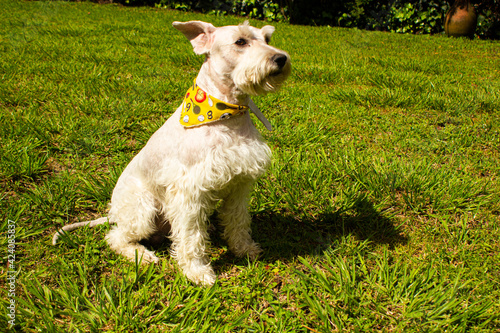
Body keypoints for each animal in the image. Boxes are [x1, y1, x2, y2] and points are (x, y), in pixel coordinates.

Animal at [52, 19, 292, 284]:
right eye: (240, 41)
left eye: (267, 39)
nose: (281, 58)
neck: (225, 114)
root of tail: (115, 214)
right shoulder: (189, 190)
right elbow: (191, 236)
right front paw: (198, 271)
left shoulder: (239, 183)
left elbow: (238, 220)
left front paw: (244, 249)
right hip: (142, 210)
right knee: (115, 237)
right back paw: (142, 255)